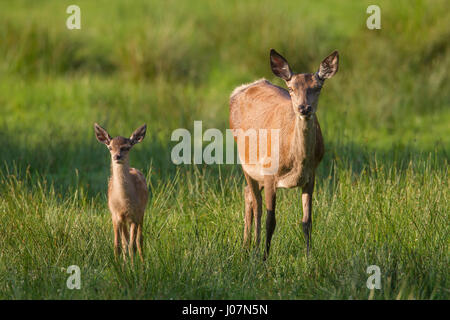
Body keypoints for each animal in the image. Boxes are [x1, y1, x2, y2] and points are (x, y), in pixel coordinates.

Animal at [94, 122, 149, 262]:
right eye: (110, 147)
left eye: (127, 147)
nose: (117, 156)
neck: (123, 202)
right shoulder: (115, 215)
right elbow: (117, 245)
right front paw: (118, 266)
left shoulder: (135, 215)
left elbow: (132, 246)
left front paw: (134, 267)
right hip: (124, 220)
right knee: (126, 241)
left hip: (141, 213)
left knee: (139, 240)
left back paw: (142, 263)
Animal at [230, 48, 340, 258]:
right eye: (291, 89)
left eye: (318, 87)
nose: (304, 108)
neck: (297, 162)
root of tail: (239, 90)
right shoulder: (270, 173)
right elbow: (270, 220)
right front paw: (264, 258)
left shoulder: (311, 176)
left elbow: (307, 221)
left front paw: (308, 256)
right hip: (246, 162)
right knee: (256, 204)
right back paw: (253, 248)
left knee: (248, 194)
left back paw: (246, 246)